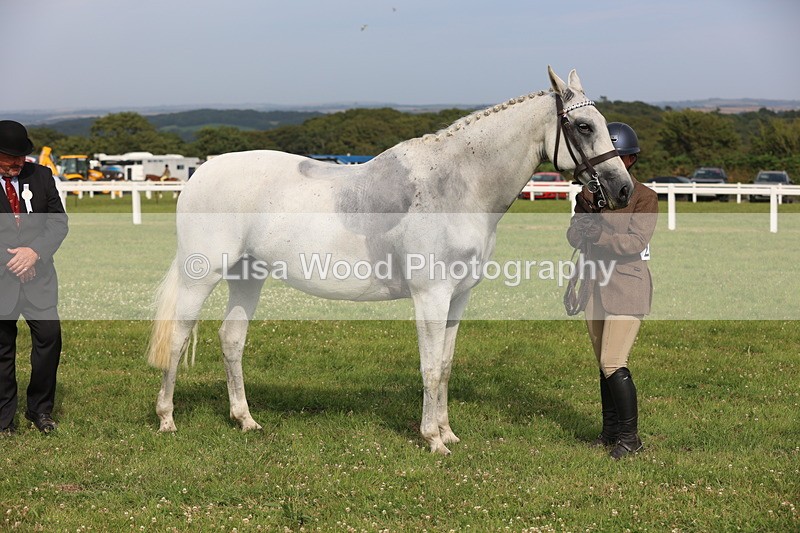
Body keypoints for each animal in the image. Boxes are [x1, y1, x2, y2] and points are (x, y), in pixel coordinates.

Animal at [146, 67, 633, 455]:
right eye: (584, 126)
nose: (623, 189)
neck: (456, 187)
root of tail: (202, 172)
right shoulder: (430, 296)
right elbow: (430, 366)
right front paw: (433, 440)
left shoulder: (458, 298)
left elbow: (446, 366)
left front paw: (448, 432)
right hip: (202, 274)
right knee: (178, 337)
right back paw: (166, 419)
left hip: (248, 275)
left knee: (231, 339)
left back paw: (245, 419)